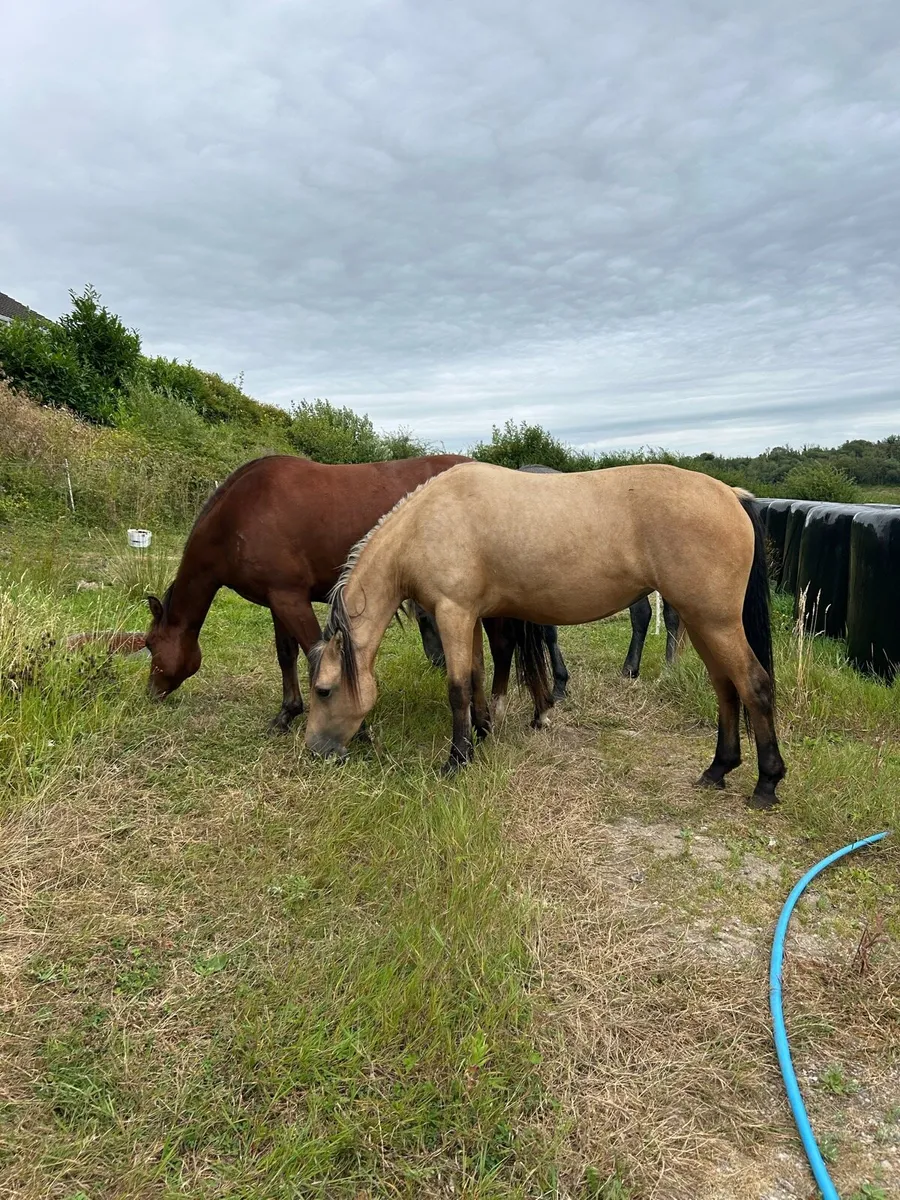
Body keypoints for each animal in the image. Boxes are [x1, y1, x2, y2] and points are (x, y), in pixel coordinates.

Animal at [143, 453, 473, 729]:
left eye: (149, 644)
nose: (150, 693)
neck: (239, 516)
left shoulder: (291, 600)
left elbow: (315, 655)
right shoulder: (279, 599)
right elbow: (286, 653)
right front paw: (287, 712)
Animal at [306, 462, 785, 808]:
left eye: (324, 690)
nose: (315, 751)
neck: (426, 523)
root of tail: (731, 495)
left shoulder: (453, 613)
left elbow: (457, 687)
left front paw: (457, 760)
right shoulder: (469, 616)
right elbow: (477, 676)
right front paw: (482, 732)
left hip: (716, 622)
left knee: (754, 686)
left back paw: (766, 783)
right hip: (703, 623)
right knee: (726, 689)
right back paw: (718, 769)